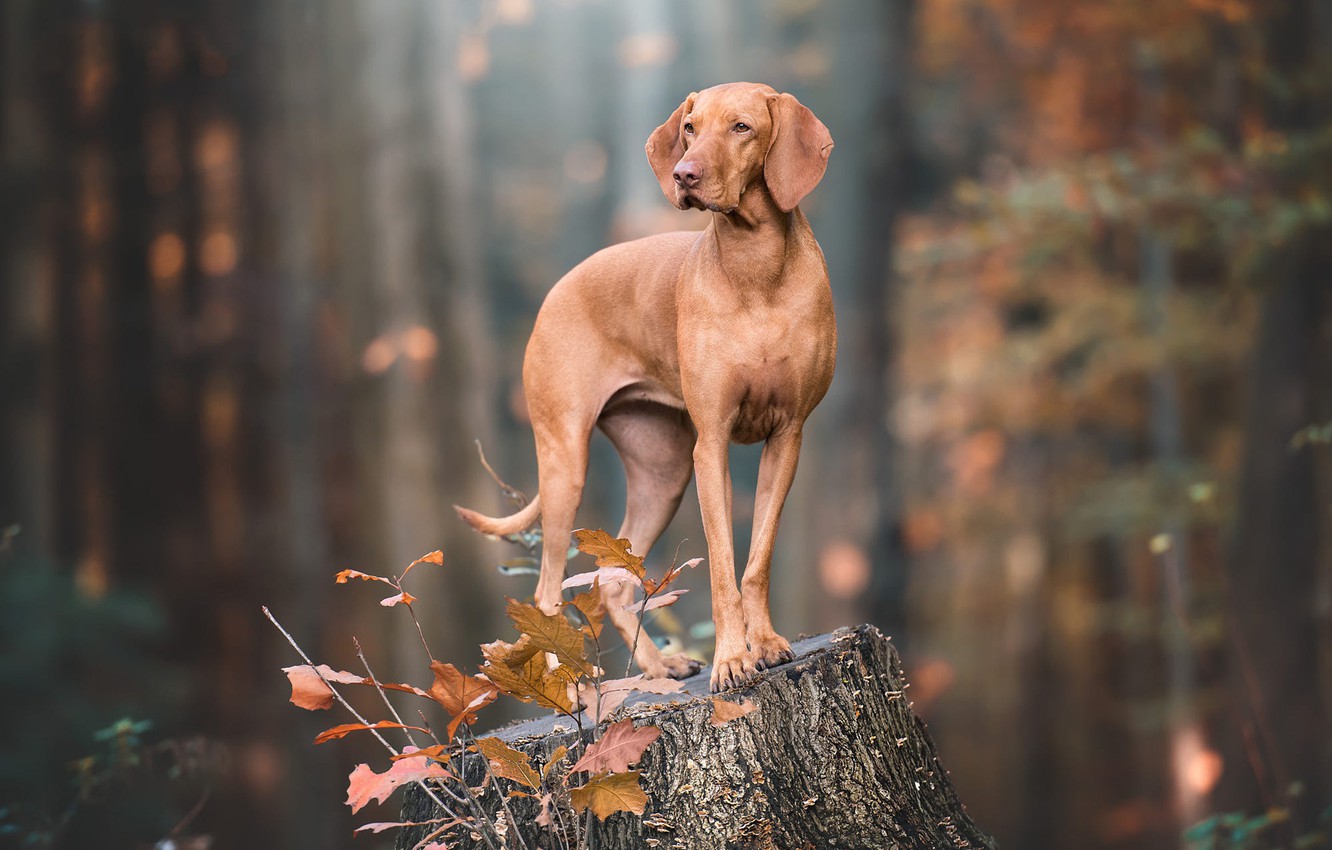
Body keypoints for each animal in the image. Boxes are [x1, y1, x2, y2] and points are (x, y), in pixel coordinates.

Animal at [458, 83, 831, 692]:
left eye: (742, 127)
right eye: (689, 128)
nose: (684, 174)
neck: (755, 267)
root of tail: (558, 287)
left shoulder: (788, 437)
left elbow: (756, 561)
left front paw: (767, 645)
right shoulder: (712, 447)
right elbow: (722, 567)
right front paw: (733, 659)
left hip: (664, 473)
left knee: (611, 583)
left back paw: (659, 671)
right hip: (566, 463)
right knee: (546, 591)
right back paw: (572, 693)